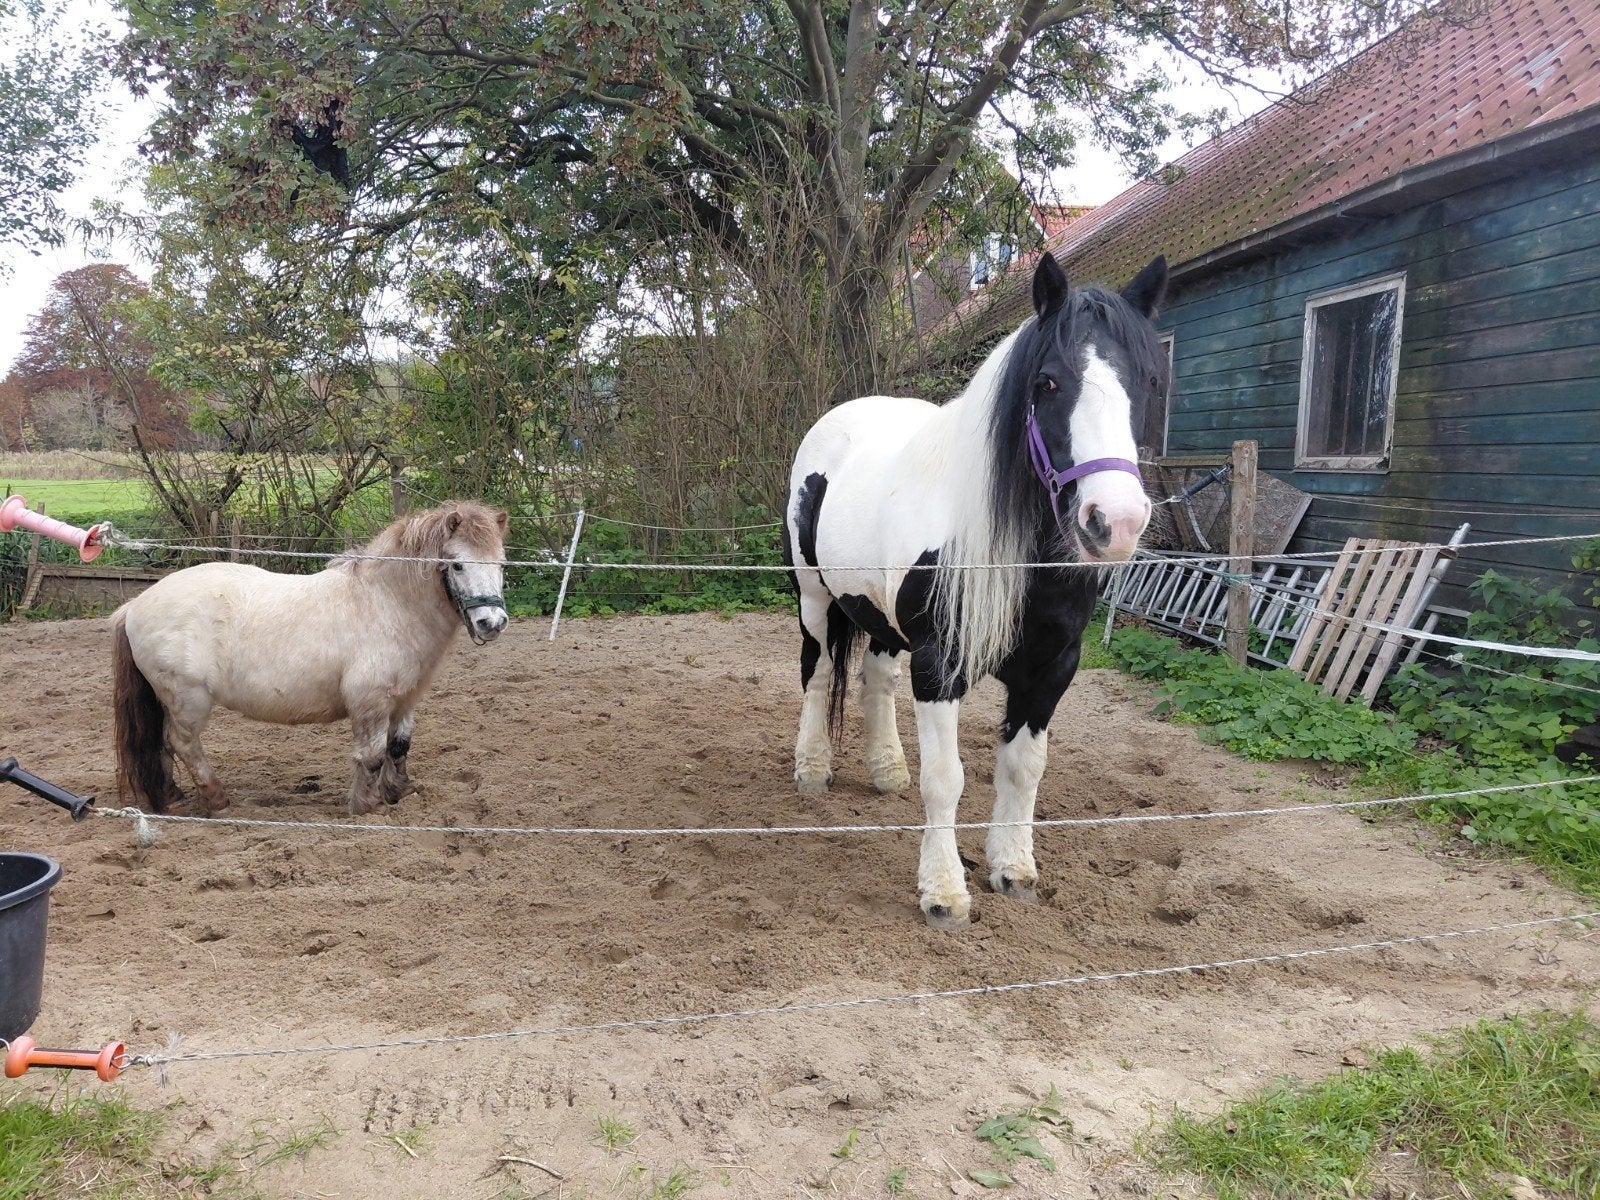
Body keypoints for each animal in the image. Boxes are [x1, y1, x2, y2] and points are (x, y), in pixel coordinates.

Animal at [111, 501, 510, 816]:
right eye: (457, 565)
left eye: (502, 564)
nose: (491, 622)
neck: (385, 603)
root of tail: (135, 605)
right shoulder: (371, 704)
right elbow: (371, 755)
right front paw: (366, 807)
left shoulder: (404, 700)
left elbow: (399, 747)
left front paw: (398, 793)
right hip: (188, 699)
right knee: (183, 744)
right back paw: (217, 800)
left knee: (162, 744)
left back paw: (171, 797)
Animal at [783, 251, 1168, 929]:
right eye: (1048, 382)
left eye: (1148, 381)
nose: (1115, 521)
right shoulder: (940, 663)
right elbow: (946, 777)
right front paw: (944, 893)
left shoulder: (1052, 666)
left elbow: (1022, 767)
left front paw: (1013, 869)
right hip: (815, 600)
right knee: (821, 672)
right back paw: (813, 769)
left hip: (882, 619)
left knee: (875, 676)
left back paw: (886, 769)